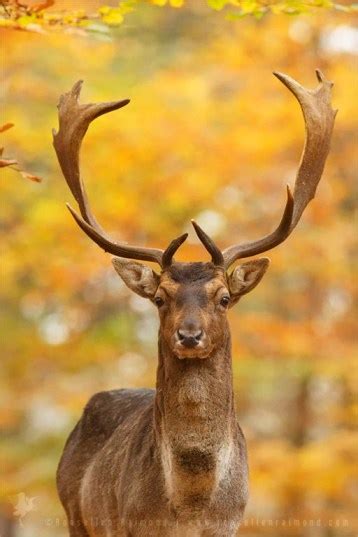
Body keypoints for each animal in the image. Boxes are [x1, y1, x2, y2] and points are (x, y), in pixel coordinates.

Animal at [52, 72, 336, 536]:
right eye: (160, 297)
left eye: (224, 297)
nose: (189, 334)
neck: (191, 507)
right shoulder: (132, 525)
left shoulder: (232, 523)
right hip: (77, 515)